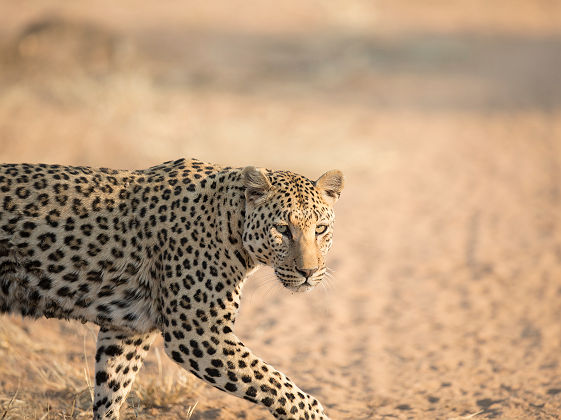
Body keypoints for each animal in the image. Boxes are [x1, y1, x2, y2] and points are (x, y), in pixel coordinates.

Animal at [0, 158, 342, 420]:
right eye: (282, 229)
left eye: (320, 229)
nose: (309, 272)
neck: (230, 223)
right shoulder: (197, 333)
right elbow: (279, 386)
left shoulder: (128, 331)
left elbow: (111, 391)